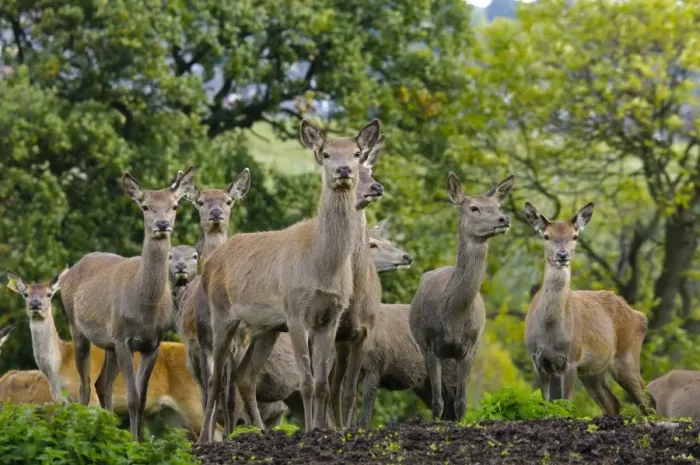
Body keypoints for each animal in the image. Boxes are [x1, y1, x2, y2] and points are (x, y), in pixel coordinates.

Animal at [3, 268, 220, 438]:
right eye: (26, 294)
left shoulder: (91, 401)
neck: (58, 365)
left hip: (191, 401)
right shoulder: (58, 402)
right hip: (172, 413)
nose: (35, 305)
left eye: (49, 294)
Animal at [59, 167, 196, 440]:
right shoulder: (124, 338)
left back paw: (108, 430)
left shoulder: (152, 344)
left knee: (103, 383)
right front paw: (133, 442)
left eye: (175, 205)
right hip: (77, 327)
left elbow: (141, 399)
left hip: (108, 344)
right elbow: (132, 397)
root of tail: (71, 269)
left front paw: (138, 440)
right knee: (84, 385)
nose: (162, 225)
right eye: (145, 206)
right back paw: (82, 430)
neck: (145, 308)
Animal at [198, 119, 381, 441]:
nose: (343, 170)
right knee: (215, 381)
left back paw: (259, 431)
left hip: (265, 328)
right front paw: (309, 430)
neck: (322, 265)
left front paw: (321, 429)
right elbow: (306, 381)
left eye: (357, 153)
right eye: (325, 153)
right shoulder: (296, 312)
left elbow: (322, 384)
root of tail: (210, 264)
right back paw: (205, 440)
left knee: (245, 375)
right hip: (222, 315)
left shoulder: (331, 317)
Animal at [409, 172, 515, 421]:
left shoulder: (470, 347)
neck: (453, 320)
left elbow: (462, 402)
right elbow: (436, 402)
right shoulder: (429, 345)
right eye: (474, 208)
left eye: (497, 206)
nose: (504, 219)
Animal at [523, 201, 653, 415]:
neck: (550, 330)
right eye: (546, 236)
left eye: (575, 236)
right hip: (593, 371)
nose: (562, 255)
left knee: (648, 400)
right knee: (613, 402)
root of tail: (641, 316)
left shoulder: (572, 358)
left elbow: (566, 403)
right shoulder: (538, 360)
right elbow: (547, 403)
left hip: (627, 357)